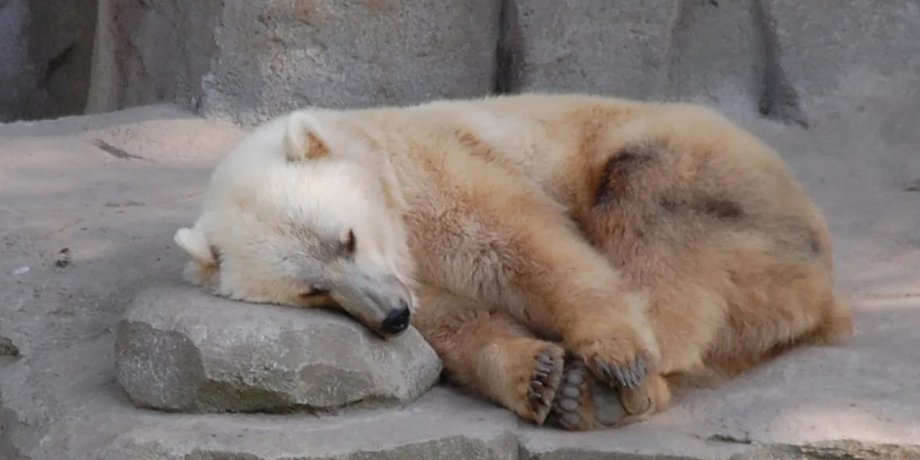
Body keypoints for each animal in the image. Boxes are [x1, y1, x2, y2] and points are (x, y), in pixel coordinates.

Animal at [172, 93, 853, 431]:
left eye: (347, 238)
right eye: (313, 290)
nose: (392, 316)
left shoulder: (435, 168)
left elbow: (517, 243)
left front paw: (612, 354)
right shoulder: (414, 278)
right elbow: (456, 324)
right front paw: (540, 376)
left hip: (712, 179)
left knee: (653, 214)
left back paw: (621, 383)